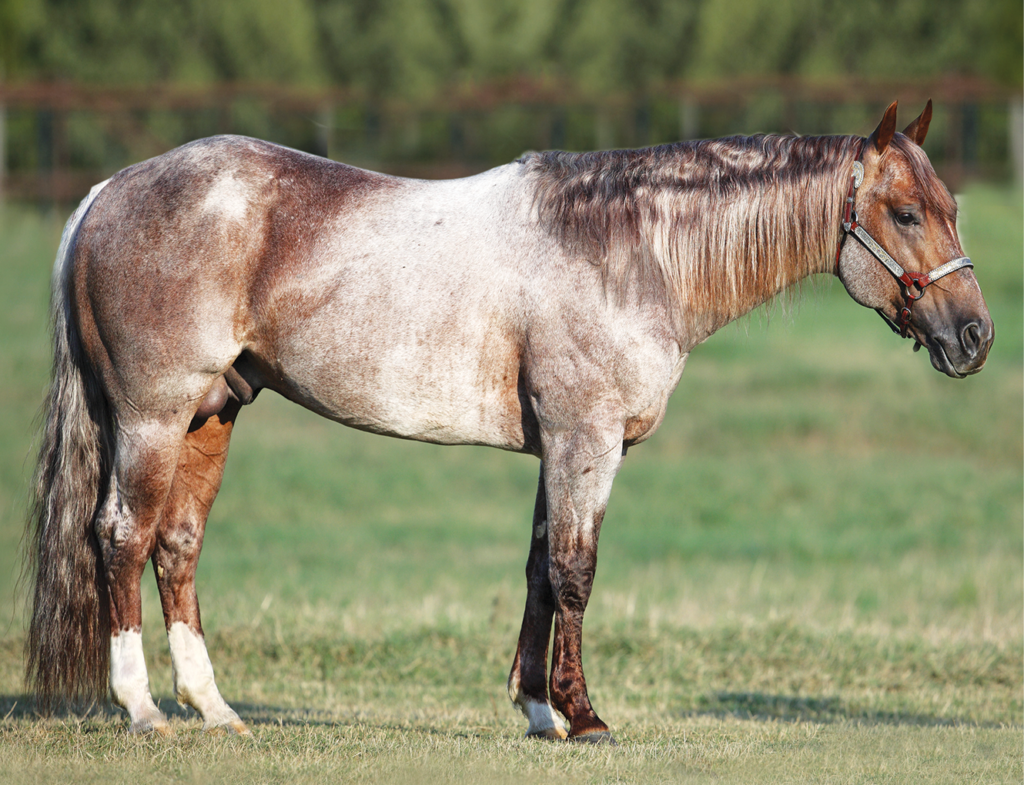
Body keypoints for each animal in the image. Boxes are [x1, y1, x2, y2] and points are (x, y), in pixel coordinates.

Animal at [25, 100, 992, 743]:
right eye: (906, 212)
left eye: (951, 209)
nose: (975, 337)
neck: (628, 250)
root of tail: (107, 192)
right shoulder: (586, 442)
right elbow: (574, 572)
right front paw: (585, 715)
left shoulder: (559, 448)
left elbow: (536, 569)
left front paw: (536, 709)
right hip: (153, 417)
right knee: (119, 535)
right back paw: (143, 707)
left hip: (211, 415)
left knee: (176, 544)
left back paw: (216, 708)